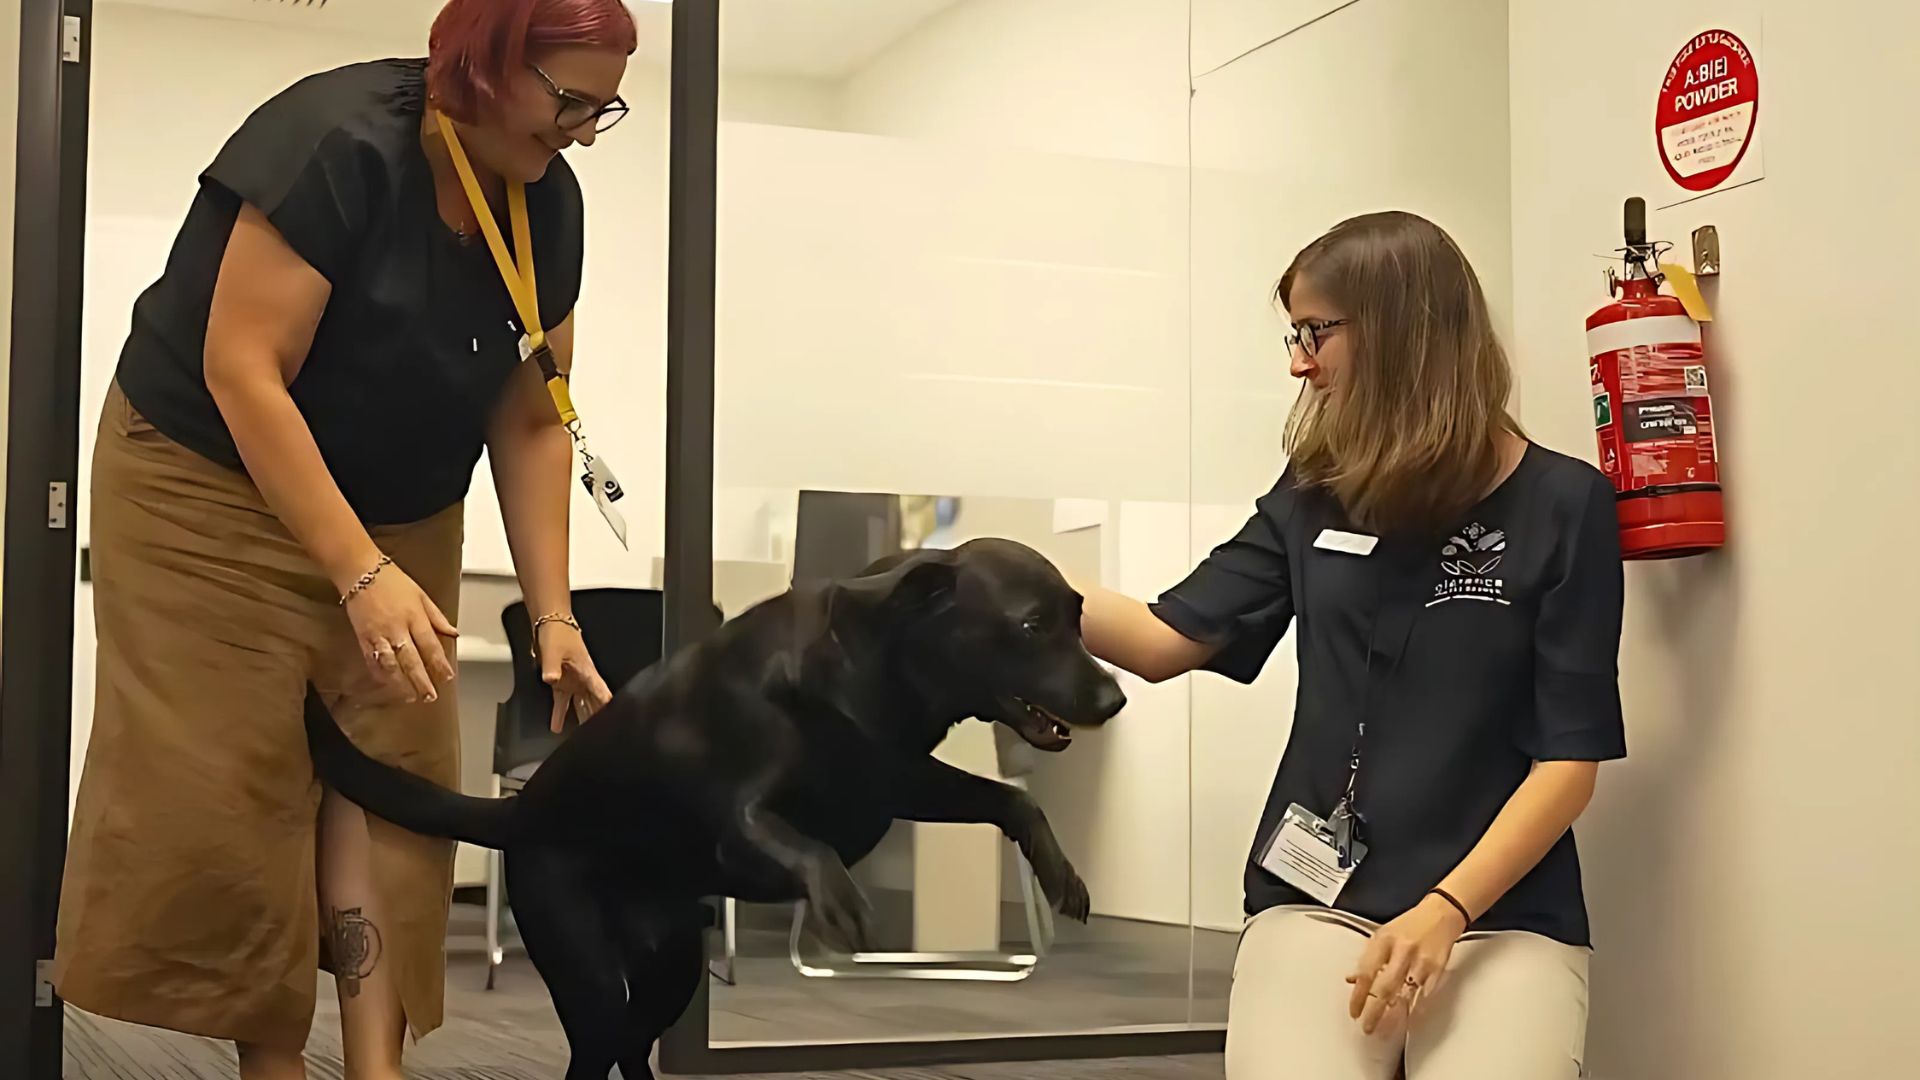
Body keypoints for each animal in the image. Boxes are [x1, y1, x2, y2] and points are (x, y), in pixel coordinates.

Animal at [303, 538, 1121, 1076]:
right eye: (1030, 624)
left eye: (1080, 617)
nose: (1115, 698)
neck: (870, 668)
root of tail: (522, 810)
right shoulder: (743, 822)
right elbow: (795, 838)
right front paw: (842, 904)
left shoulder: (897, 782)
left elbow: (1009, 800)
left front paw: (1064, 877)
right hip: (587, 971)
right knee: (598, 1052)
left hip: (672, 968)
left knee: (633, 1047)